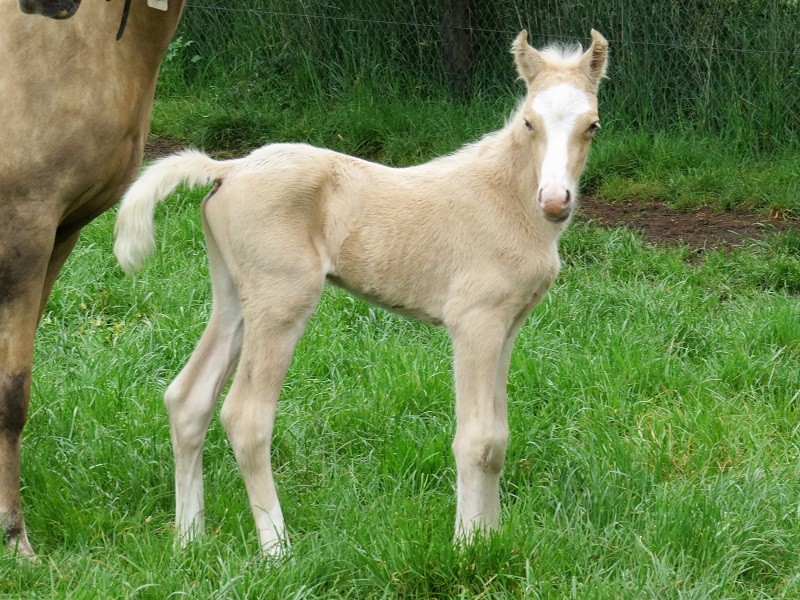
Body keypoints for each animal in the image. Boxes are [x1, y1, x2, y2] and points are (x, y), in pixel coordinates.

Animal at [114, 29, 609, 555]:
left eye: (592, 126)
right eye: (530, 122)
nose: (554, 201)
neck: (507, 198)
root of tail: (228, 168)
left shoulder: (508, 326)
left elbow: (497, 439)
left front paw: (490, 538)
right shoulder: (475, 321)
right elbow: (475, 440)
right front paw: (466, 547)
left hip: (233, 297)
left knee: (188, 399)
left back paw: (189, 539)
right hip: (282, 300)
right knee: (246, 416)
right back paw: (277, 550)